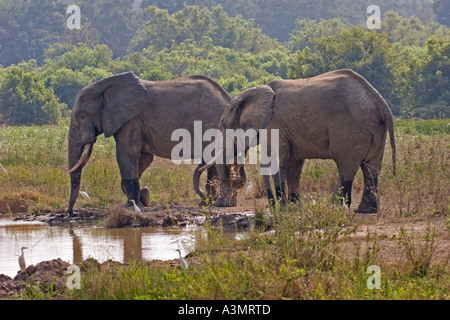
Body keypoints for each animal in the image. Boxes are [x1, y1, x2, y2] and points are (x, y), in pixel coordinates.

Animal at [67, 72, 246, 216]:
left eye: (82, 116)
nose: (72, 213)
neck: (105, 86)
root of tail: (227, 98)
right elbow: (144, 159)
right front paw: (142, 198)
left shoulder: (131, 120)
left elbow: (126, 154)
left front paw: (132, 205)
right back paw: (207, 202)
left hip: (212, 124)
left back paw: (213, 203)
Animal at [195, 69, 396, 214]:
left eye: (223, 126)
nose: (236, 178)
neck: (255, 92)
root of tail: (381, 103)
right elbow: (294, 165)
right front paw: (293, 206)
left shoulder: (273, 124)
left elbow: (274, 161)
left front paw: (280, 207)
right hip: (374, 128)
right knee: (371, 167)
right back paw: (366, 210)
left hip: (350, 129)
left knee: (347, 165)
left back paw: (333, 206)